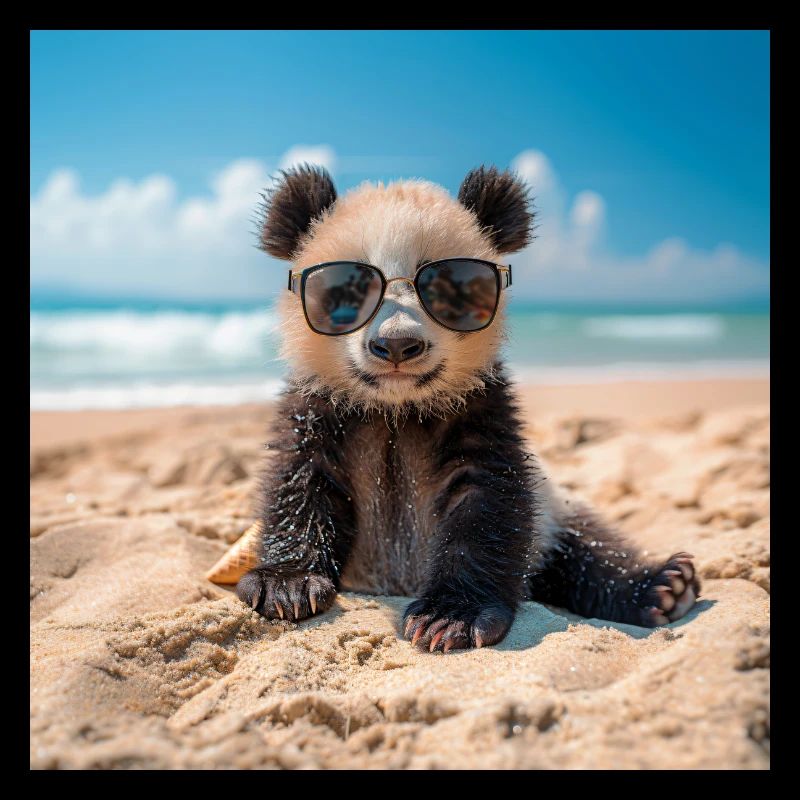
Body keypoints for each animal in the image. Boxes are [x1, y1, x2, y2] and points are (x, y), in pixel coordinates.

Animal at [236, 164, 700, 652]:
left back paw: (664, 585)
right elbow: (299, 481)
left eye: (445, 288)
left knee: (586, 549)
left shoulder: (480, 407)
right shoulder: (320, 407)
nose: (397, 345)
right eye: (347, 290)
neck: (395, 409)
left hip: (554, 513)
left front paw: (448, 616)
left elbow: (486, 501)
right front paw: (286, 585)